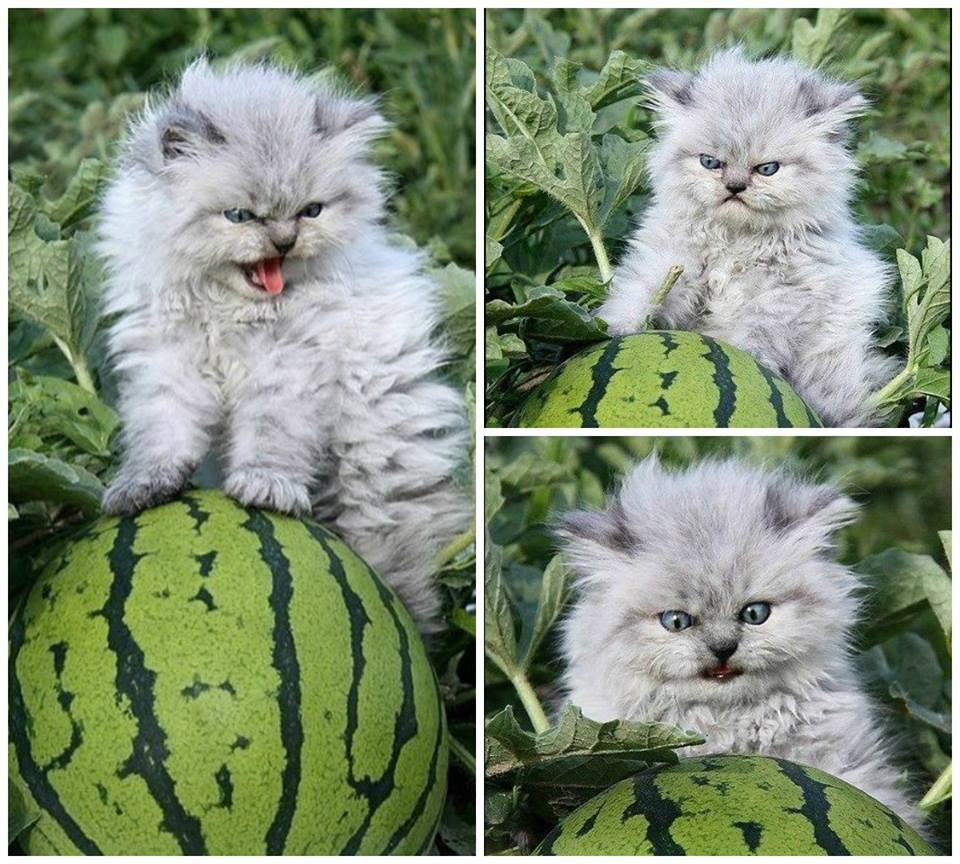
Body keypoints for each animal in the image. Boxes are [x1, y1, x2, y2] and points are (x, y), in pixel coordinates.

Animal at [99, 59, 470, 628]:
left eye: (311, 211)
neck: (230, 313)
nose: (284, 241)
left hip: (376, 475)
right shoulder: (168, 364)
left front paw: (266, 488)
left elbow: (272, 437)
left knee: (402, 569)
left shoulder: (289, 371)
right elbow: (162, 434)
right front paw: (144, 486)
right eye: (239, 216)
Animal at [600, 49, 900, 426]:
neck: (735, 242)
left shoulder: (778, 302)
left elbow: (749, 338)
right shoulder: (671, 261)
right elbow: (639, 292)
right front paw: (616, 327)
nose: (735, 187)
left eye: (767, 169)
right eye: (710, 162)